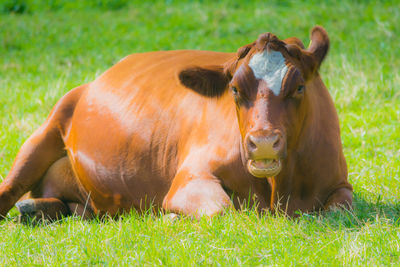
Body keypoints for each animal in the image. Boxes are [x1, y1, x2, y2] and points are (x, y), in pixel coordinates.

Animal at [0, 26, 350, 221]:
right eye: (235, 90)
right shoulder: (189, 178)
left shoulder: (341, 184)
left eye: (299, 88)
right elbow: (222, 210)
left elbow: (339, 208)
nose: (263, 143)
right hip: (45, 131)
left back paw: (38, 210)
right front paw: (169, 218)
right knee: (10, 190)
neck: (279, 191)